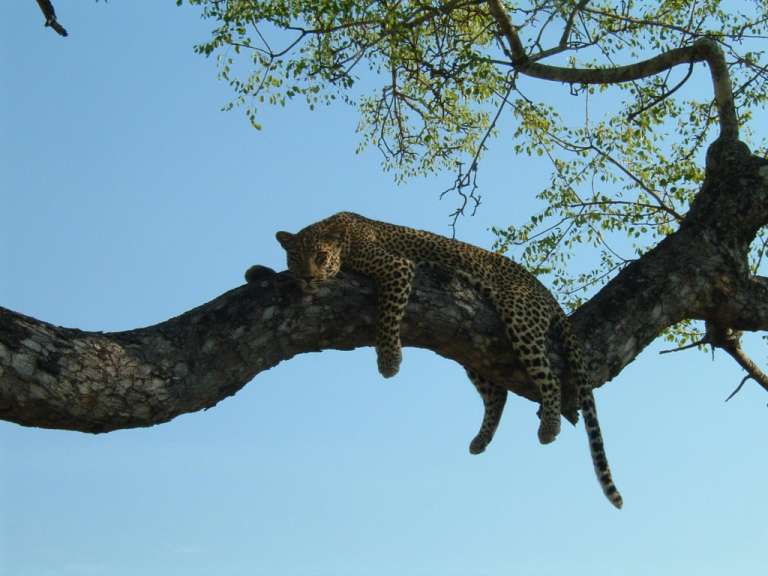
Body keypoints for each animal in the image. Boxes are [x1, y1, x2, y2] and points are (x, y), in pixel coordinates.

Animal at [272, 211, 622, 508]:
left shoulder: (398, 267)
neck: (341, 236)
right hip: (475, 347)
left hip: (519, 317)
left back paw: (548, 427)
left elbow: (388, 314)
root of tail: (545, 292)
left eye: (320, 256)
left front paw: (389, 360)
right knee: (498, 393)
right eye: (296, 258)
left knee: (548, 379)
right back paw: (481, 440)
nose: (307, 279)